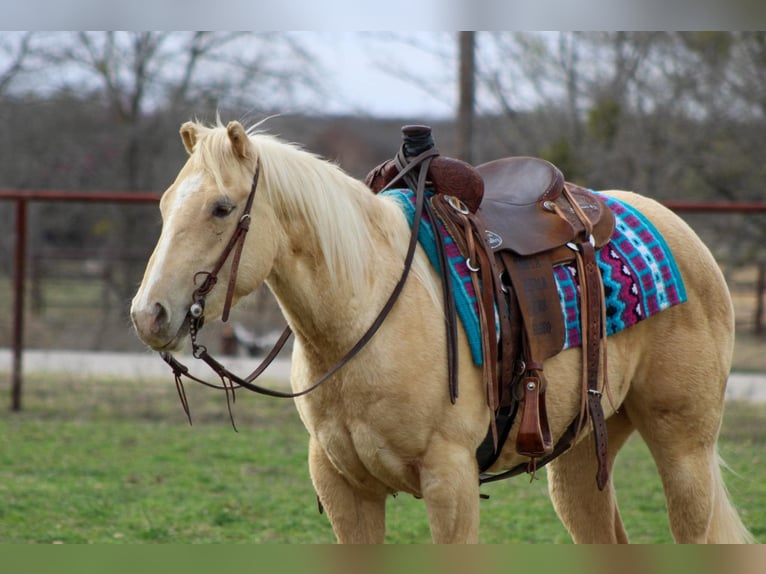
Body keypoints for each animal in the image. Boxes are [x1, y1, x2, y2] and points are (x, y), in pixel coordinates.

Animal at [130, 119, 754, 544]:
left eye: (221, 207)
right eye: (163, 206)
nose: (148, 315)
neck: (366, 314)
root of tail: (678, 229)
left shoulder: (450, 481)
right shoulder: (343, 488)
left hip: (685, 450)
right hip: (581, 456)